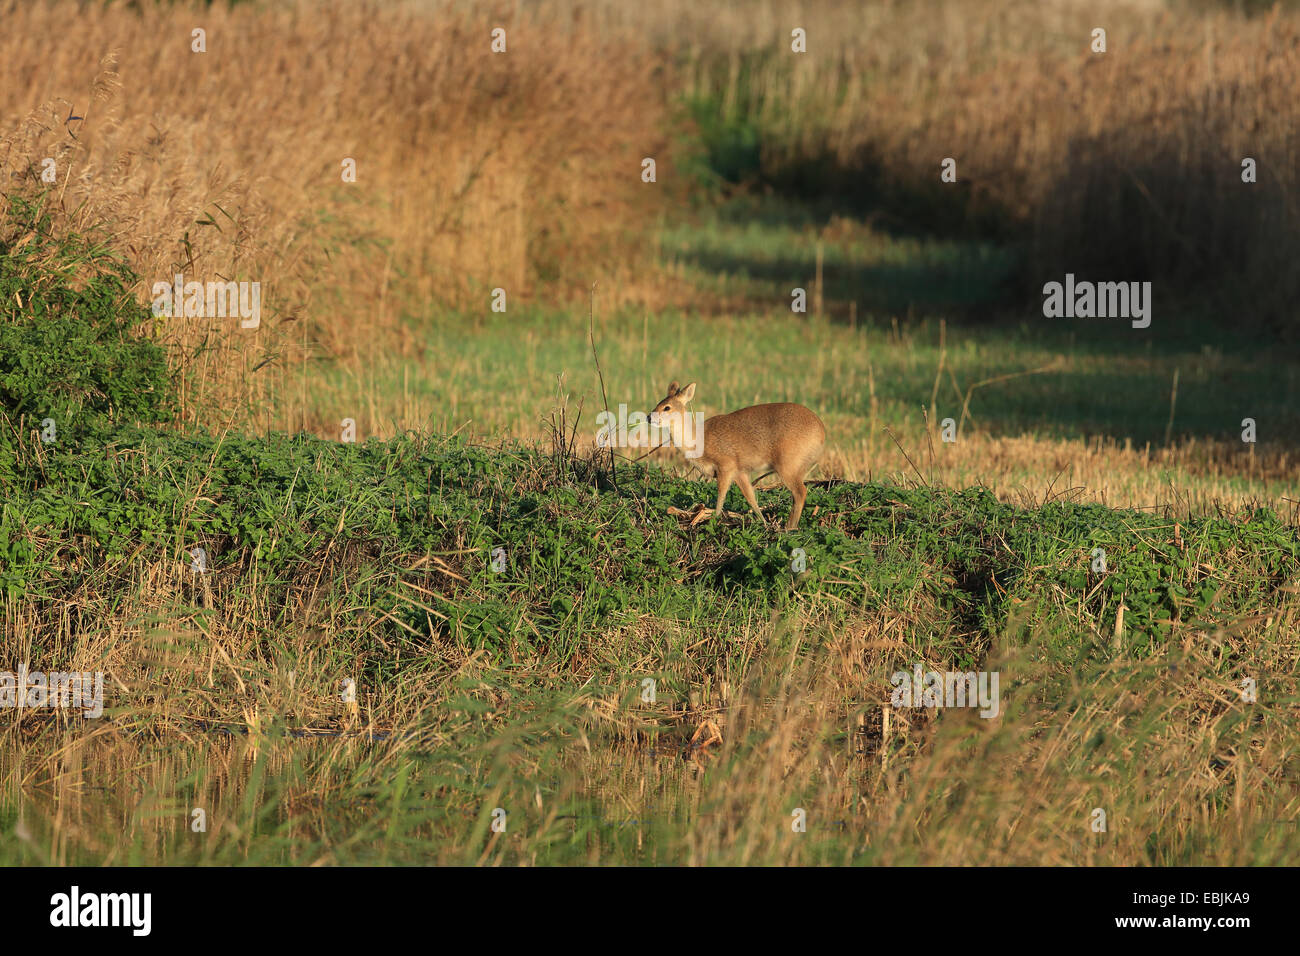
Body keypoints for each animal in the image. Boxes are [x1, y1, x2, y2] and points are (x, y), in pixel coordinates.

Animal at [647, 382, 821, 530]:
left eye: (667, 407)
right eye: (658, 402)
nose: (649, 417)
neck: (698, 440)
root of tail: (822, 432)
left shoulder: (726, 465)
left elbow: (721, 495)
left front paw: (715, 519)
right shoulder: (740, 472)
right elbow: (751, 497)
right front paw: (764, 522)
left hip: (787, 465)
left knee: (801, 492)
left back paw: (789, 527)